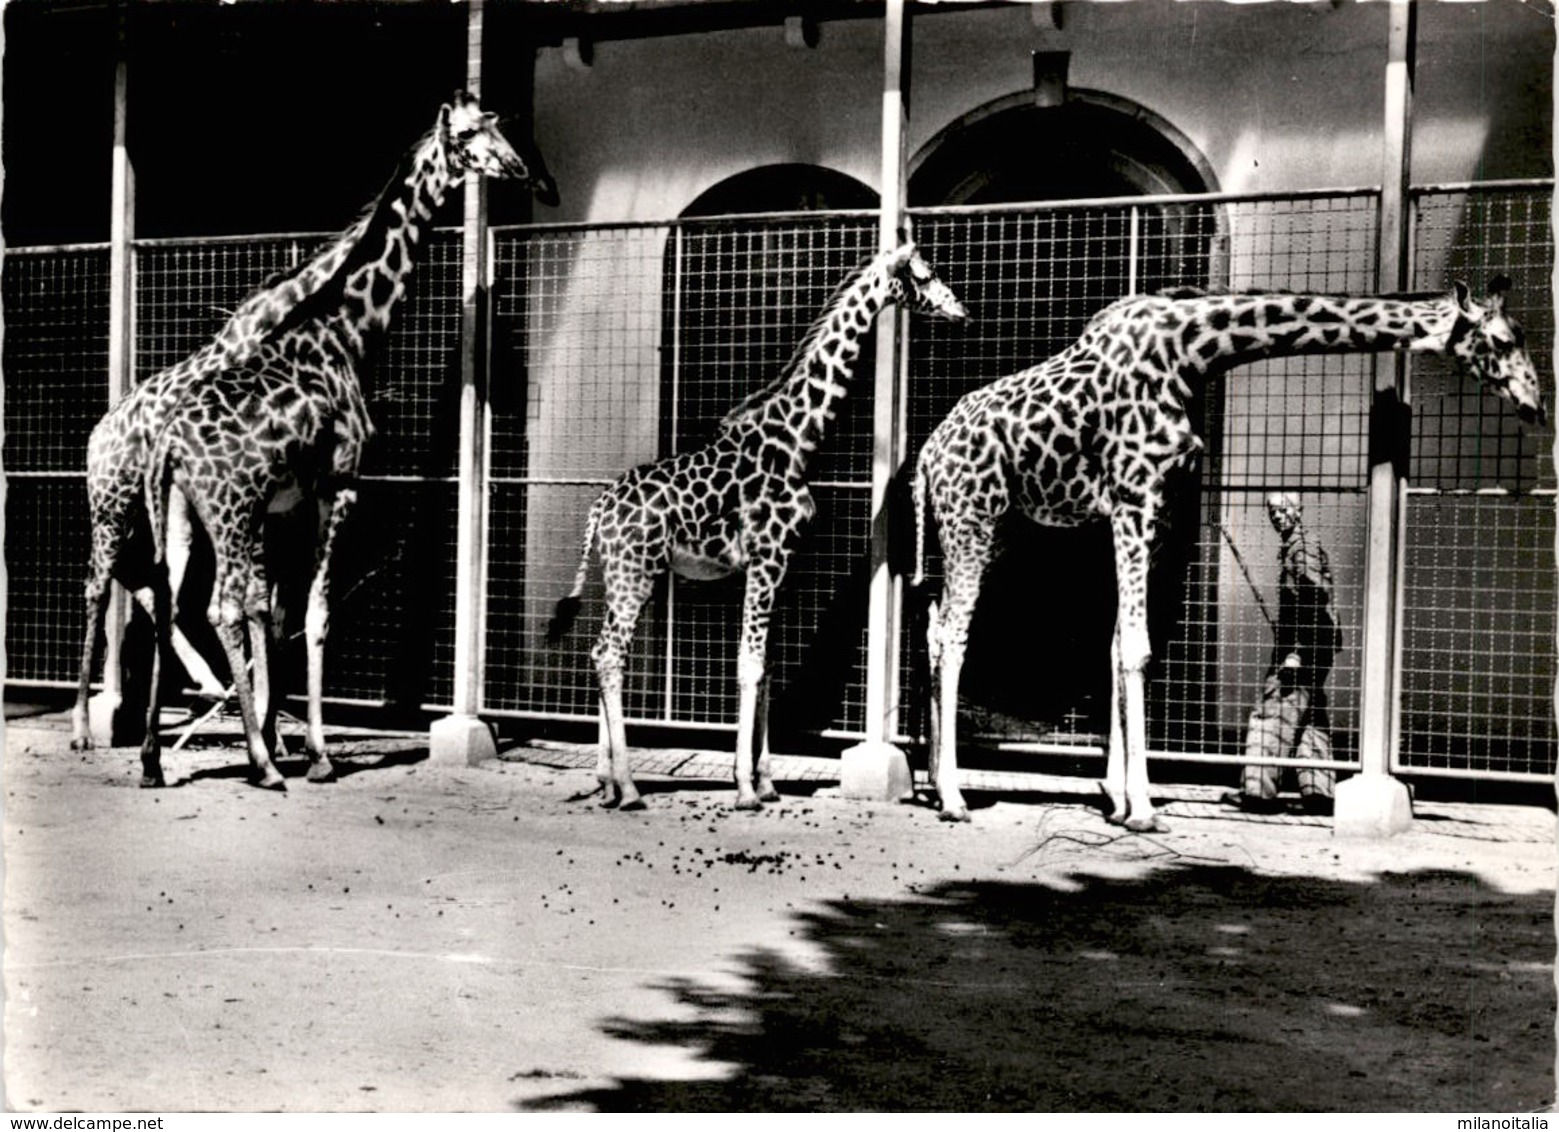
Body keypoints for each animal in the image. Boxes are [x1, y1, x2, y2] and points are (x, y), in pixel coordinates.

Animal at [121, 93, 558, 795]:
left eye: (497, 125)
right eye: (469, 136)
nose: (526, 173)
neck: (349, 330)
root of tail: (168, 444)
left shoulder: (287, 505)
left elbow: (278, 613)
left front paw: (283, 735)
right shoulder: (339, 485)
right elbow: (316, 613)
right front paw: (315, 753)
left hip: (182, 514)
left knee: (167, 600)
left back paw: (156, 759)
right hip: (232, 508)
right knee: (218, 608)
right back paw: (262, 765)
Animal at [545, 243, 960, 817]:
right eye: (925, 273)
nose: (960, 309)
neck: (796, 439)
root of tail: (598, 510)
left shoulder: (781, 565)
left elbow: (766, 669)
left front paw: (766, 782)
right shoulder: (766, 559)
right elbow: (748, 665)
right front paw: (743, 787)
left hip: (621, 575)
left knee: (603, 653)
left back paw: (607, 781)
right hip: (634, 574)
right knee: (608, 655)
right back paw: (628, 788)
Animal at [910, 275, 1546, 829]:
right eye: (1501, 340)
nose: (1535, 405)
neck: (1191, 352)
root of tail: (925, 457)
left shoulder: (1160, 509)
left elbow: (1118, 647)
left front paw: (1116, 797)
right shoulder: (1133, 498)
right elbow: (1135, 649)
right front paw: (1142, 810)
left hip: (993, 528)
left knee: (934, 625)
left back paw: (933, 782)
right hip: (971, 520)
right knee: (954, 635)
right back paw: (954, 797)